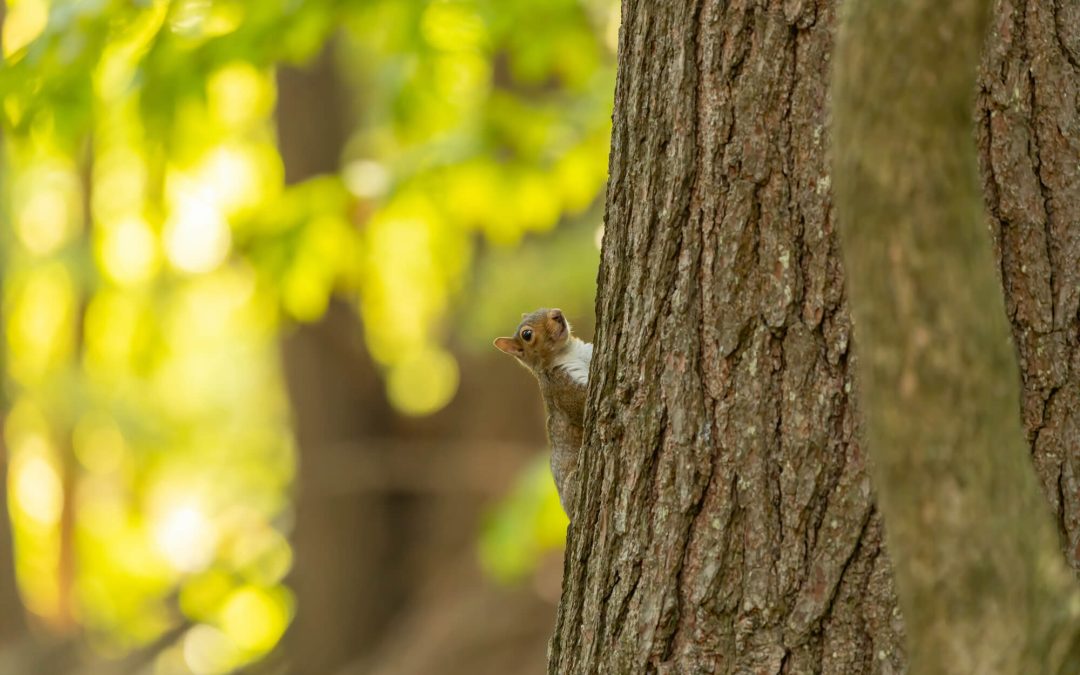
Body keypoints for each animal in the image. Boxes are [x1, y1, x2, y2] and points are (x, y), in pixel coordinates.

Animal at [494, 308, 593, 517]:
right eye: (526, 334)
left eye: (541, 309)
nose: (557, 313)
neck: (568, 350)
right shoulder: (561, 387)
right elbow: (582, 404)